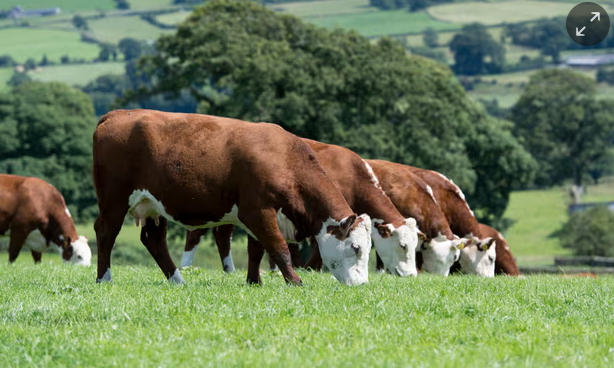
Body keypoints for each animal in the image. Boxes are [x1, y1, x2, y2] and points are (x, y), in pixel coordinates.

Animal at [91, 110, 370, 288]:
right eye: (356, 247)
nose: (362, 284)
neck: (284, 159)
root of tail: (119, 114)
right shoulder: (258, 211)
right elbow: (278, 247)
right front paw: (295, 281)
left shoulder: (257, 215)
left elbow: (257, 249)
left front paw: (254, 281)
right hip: (114, 201)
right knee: (106, 232)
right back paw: (104, 278)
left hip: (153, 206)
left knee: (153, 240)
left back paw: (178, 280)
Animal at [183, 139, 424, 278]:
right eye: (402, 245)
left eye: (415, 245)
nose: (411, 274)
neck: (350, 176)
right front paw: (311, 268)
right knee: (197, 234)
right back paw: (187, 267)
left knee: (222, 234)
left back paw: (229, 269)